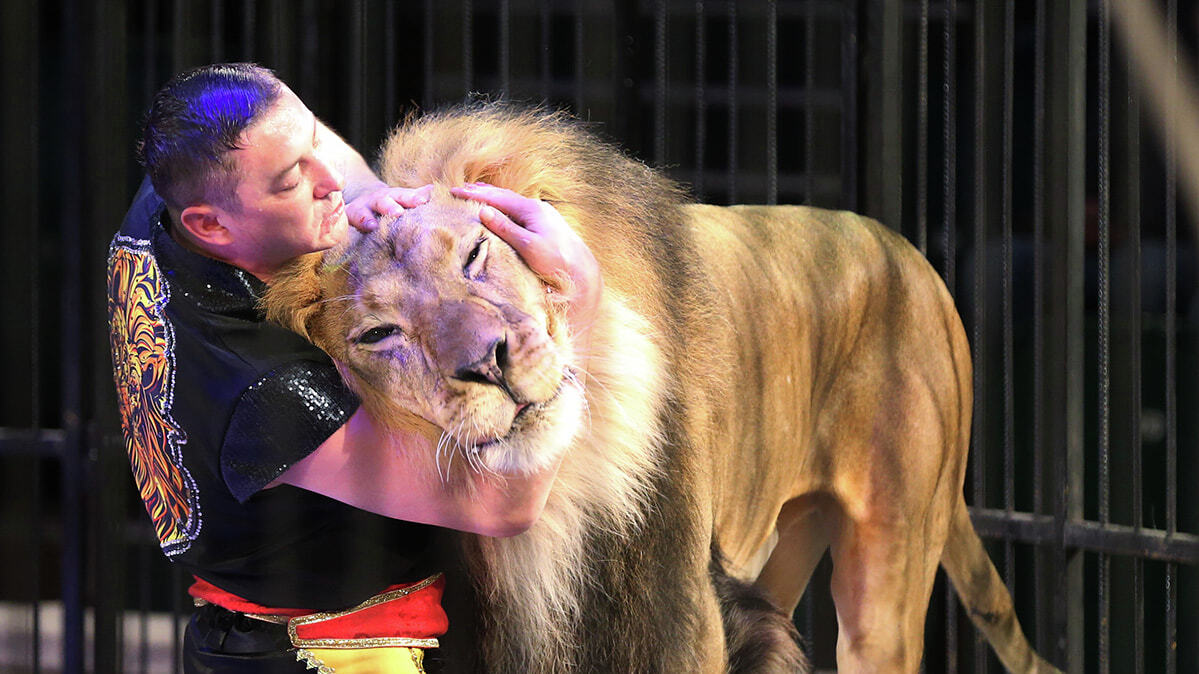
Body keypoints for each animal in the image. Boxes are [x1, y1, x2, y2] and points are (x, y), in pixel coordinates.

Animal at [264, 102, 1059, 666]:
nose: (489, 361)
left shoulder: (672, 602)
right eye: (378, 335)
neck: (566, 485)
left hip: (887, 578)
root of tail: (907, 252)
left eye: (476, 252)